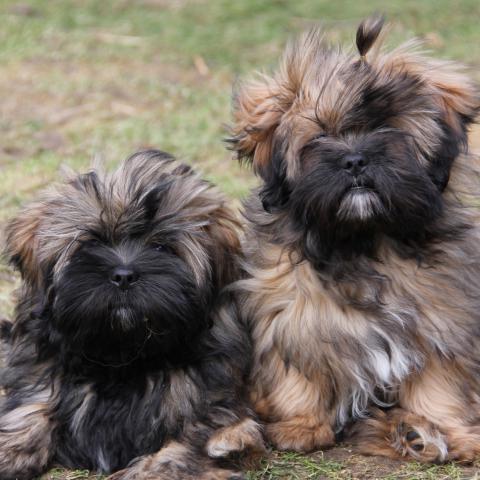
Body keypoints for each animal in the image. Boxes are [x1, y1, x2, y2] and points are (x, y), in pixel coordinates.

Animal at [0, 151, 262, 480]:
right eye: (92, 242)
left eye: (161, 247)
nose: (124, 275)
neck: (122, 358)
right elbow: (32, 406)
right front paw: (10, 448)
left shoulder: (207, 398)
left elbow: (189, 439)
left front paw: (155, 469)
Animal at [228, 17, 480, 462]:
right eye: (318, 136)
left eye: (388, 128)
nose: (356, 160)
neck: (365, 242)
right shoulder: (289, 311)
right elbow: (297, 368)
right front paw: (300, 424)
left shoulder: (445, 318)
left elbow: (441, 380)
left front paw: (446, 429)